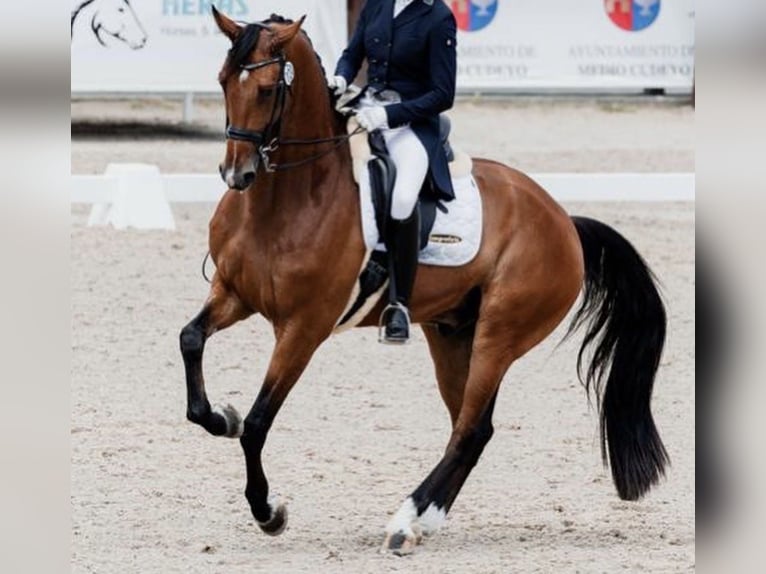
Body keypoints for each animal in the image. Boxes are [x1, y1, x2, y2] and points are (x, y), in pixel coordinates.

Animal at [180, 8, 669, 554]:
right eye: (223, 80)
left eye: (267, 90)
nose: (236, 175)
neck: (287, 200)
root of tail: (564, 221)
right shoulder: (232, 293)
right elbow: (191, 341)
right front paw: (220, 415)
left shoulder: (304, 328)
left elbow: (259, 422)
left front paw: (269, 512)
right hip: (453, 333)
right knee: (473, 427)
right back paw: (422, 520)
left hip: (500, 335)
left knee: (471, 429)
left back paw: (405, 520)